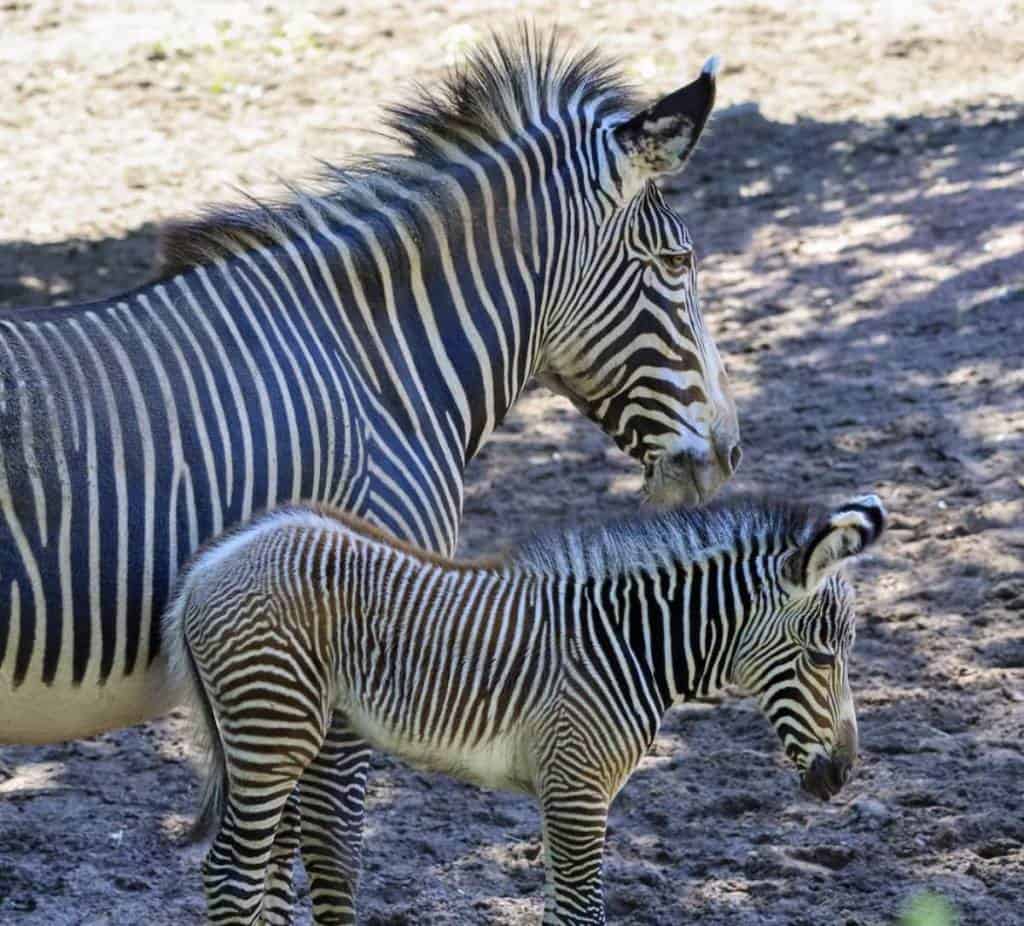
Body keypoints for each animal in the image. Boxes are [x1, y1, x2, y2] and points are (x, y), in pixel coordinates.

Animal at [1, 30, 740, 921]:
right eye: (677, 261)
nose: (729, 455)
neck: (378, 370)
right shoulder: (359, 630)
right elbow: (332, 851)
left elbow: (275, 866)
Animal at [166, 492, 886, 924]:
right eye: (822, 658)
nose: (843, 774)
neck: (629, 644)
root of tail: (209, 564)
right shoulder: (577, 789)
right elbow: (581, 913)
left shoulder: (566, 794)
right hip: (271, 729)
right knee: (232, 873)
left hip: (281, 733)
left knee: (263, 875)